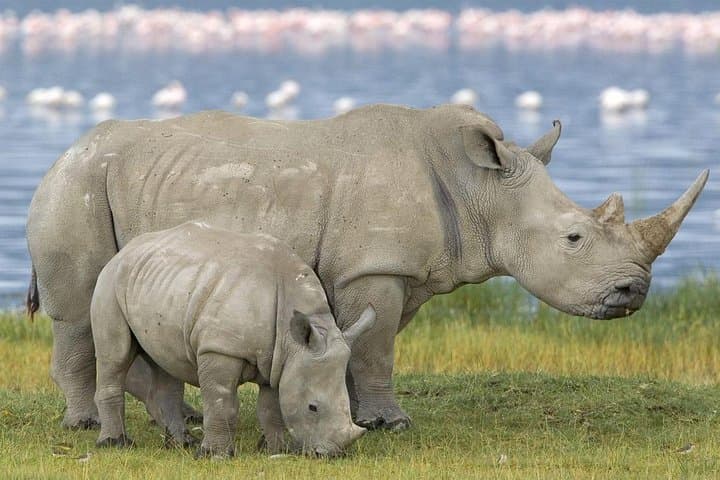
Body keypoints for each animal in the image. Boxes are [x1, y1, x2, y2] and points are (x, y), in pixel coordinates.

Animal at [26, 104, 708, 431]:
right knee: (80, 313)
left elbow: (363, 345)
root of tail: (63, 152)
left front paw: (352, 414)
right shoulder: (372, 267)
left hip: (106, 184)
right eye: (574, 238)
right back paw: (87, 424)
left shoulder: (389, 271)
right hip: (75, 189)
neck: (478, 188)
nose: (634, 291)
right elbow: (377, 348)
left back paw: (184, 419)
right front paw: (392, 425)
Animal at [91, 222, 373, 457]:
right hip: (109, 282)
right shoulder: (220, 349)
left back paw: (181, 443)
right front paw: (215, 455)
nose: (332, 454)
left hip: (159, 283)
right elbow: (222, 402)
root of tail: (126, 250)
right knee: (114, 357)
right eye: (313, 407)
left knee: (165, 361)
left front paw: (275, 450)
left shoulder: (279, 359)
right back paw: (115, 444)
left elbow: (271, 408)